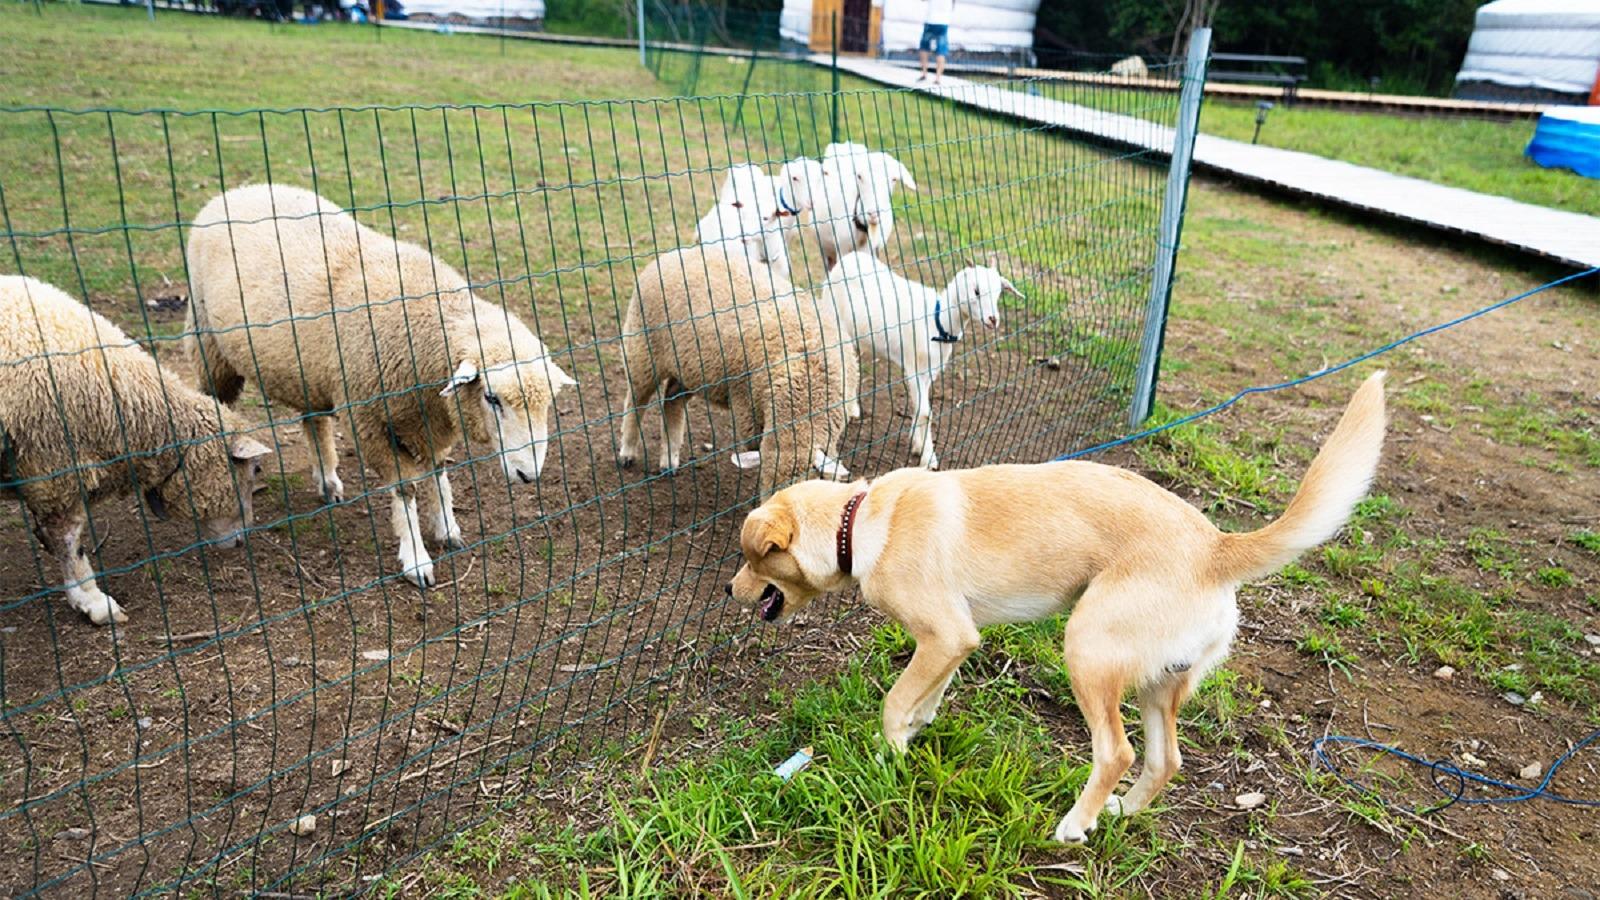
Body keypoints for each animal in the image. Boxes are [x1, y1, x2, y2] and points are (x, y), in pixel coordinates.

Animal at [184, 183, 579, 589]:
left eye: (547, 404)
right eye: (491, 397)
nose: (528, 476)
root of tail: (240, 190)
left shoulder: (430, 419)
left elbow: (438, 473)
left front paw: (447, 527)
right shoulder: (368, 421)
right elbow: (405, 489)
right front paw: (416, 559)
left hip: (309, 369)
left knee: (314, 420)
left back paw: (328, 481)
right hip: (208, 345)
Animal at [614, 245, 864, 496]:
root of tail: (673, 254)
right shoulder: (747, 405)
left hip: (688, 368)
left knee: (672, 401)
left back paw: (669, 460)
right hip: (642, 349)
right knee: (635, 402)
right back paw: (627, 452)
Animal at [825, 248, 1024, 464]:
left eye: (998, 293)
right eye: (976, 291)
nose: (993, 319)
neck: (938, 321)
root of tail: (847, 258)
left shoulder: (930, 370)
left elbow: (921, 408)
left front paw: (917, 443)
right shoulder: (913, 368)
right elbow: (925, 413)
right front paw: (929, 458)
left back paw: (853, 406)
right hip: (835, 323)